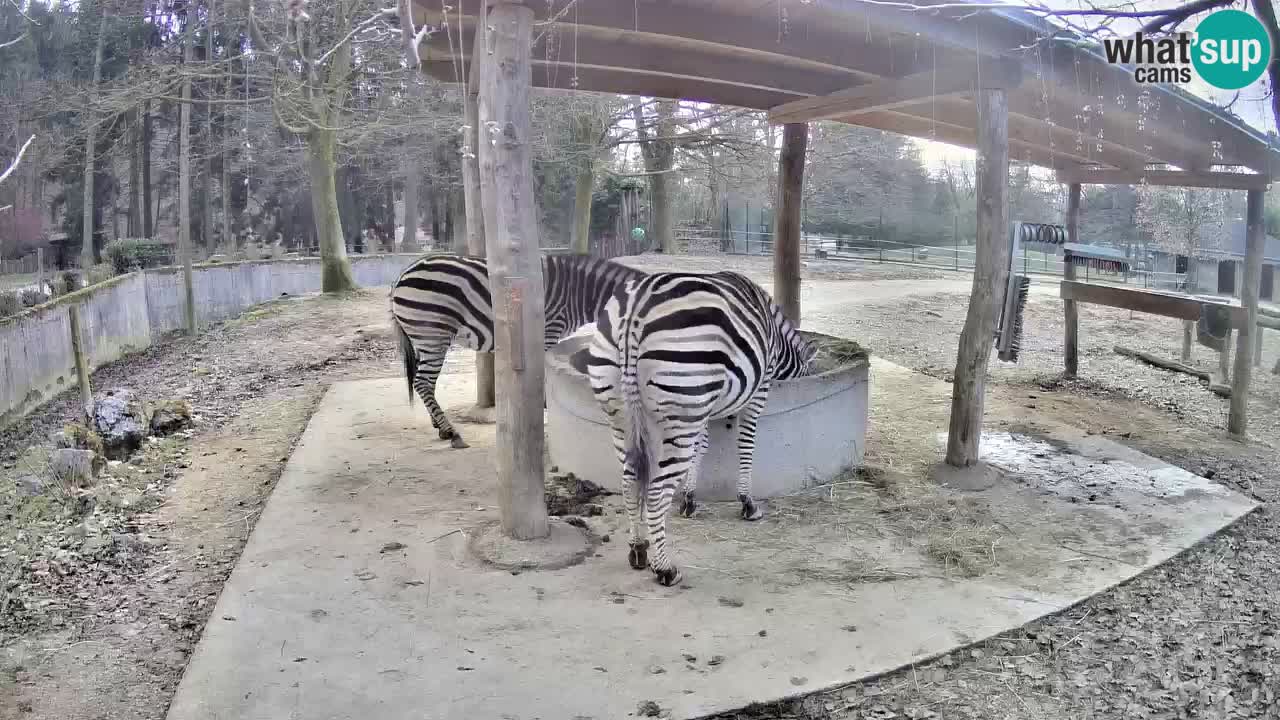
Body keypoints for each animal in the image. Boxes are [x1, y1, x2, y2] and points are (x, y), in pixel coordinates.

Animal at [389, 249, 645, 445]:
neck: (581, 293)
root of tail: (403, 274)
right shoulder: (548, 329)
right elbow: (541, 373)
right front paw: (542, 405)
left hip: (422, 338)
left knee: (424, 382)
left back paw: (439, 424)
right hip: (433, 334)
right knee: (423, 381)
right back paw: (451, 432)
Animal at [586, 269, 814, 584]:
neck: (775, 336)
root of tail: (635, 310)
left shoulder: (702, 406)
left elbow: (701, 447)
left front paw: (690, 500)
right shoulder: (759, 388)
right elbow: (746, 444)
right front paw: (747, 503)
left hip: (622, 412)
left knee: (630, 483)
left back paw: (638, 549)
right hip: (680, 401)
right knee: (655, 494)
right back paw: (665, 568)